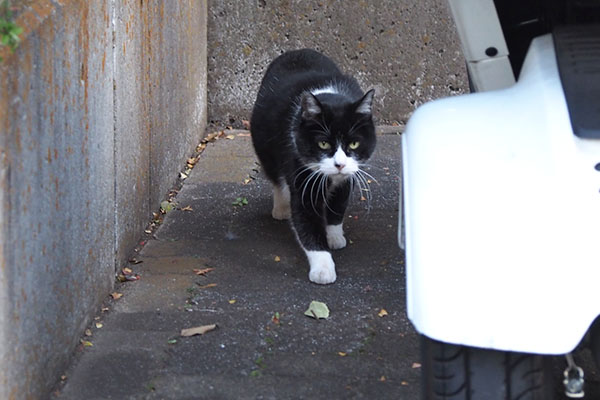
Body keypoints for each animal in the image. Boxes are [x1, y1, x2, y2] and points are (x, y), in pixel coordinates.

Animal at [248, 48, 376, 282]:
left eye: (354, 143)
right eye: (323, 143)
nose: (339, 164)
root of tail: (295, 51)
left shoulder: (348, 178)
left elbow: (338, 207)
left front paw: (334, 237)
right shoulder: (299, 168)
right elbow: (306, 220)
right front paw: (323, 269)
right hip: (263, 142)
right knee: (275, 176)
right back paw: (281, 208)